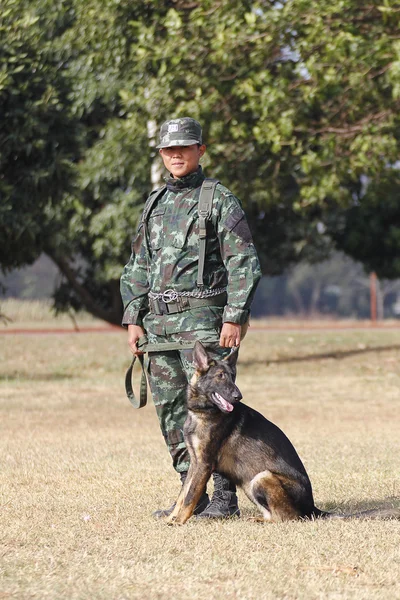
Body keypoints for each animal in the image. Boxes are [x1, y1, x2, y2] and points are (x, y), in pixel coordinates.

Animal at [165, 342, 396, 524]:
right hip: (251, 483)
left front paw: (178, 522)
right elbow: (183, 494)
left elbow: (190, 497)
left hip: (262, 477)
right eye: (221, 377)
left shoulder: (204, 464)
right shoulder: (195, 463)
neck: (203, 412)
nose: (238, 396)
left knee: (287, 517)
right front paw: (172, 517)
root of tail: (312, 509)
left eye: (233, 377)